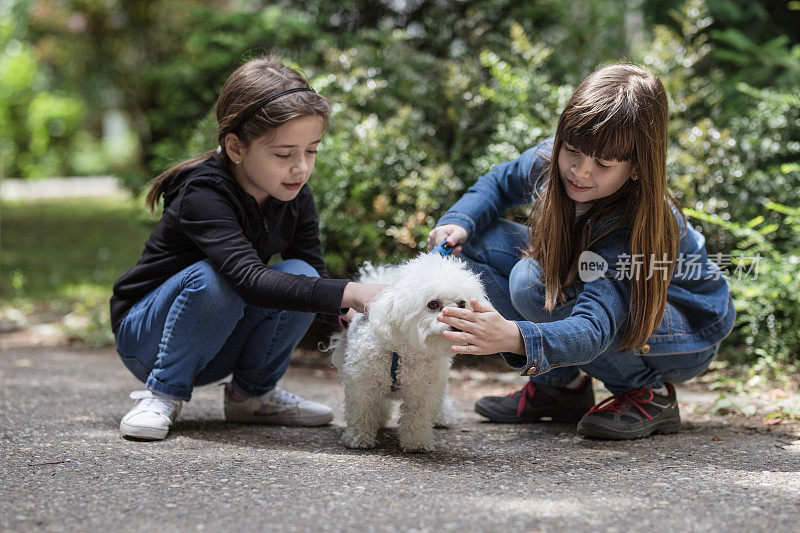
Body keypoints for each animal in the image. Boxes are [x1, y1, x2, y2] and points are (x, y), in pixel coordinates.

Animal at [330, 251, 488, 450]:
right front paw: (359, 438)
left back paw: (443, 417)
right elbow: (361, 410)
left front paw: (417, 442)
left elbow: (417, 416)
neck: (403, 350)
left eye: (462, 304)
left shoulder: (423, 388)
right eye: (433, 304)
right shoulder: (362, 382)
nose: (457, 324)